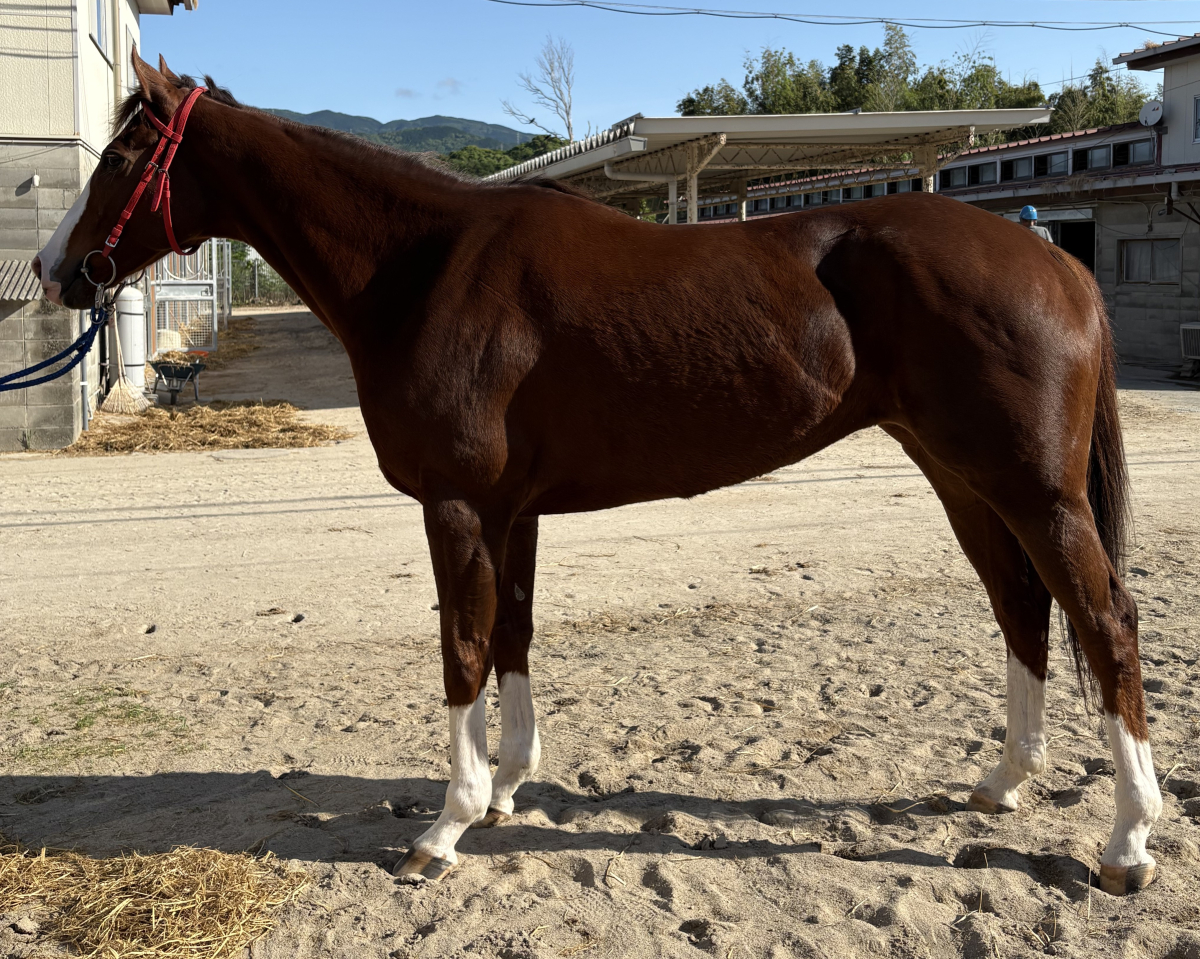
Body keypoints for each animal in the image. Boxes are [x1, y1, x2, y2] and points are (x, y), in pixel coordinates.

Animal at [31, 52, 1162, 895]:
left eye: (126, 153)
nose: (52, 270)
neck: (422, 268)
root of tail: (1054, 260)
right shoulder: (513, 510)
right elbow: (515, 634)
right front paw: (506, 788)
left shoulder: (457, 506)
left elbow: (463, 646)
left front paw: (445, 826)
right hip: (962, 477)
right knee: (1021, 607)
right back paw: (1003, 782)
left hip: (1033, 489)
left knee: (1102, 619)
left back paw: (1127, 842)